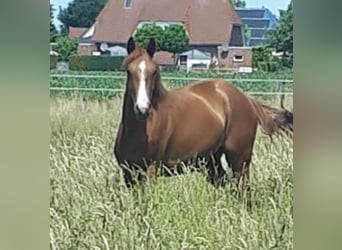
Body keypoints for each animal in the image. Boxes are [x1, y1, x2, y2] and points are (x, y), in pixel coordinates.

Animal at [114, 37, 292, 188]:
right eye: (128, 71)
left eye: (154, 71)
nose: (142, 109)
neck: (139, 131)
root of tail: (247, 99)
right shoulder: (128, 173)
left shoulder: (151, 169)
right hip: (212, 161)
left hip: (240, 159)